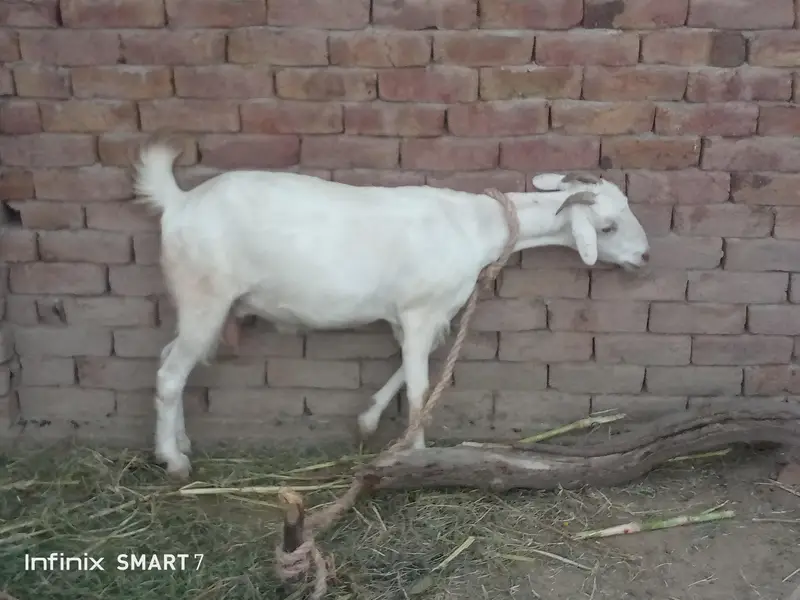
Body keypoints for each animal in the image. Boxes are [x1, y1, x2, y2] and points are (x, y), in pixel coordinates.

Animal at [133, 135, 650, 479]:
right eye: (606, 227)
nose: (644, 256)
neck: (475, 228)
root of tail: (178, 203)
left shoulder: (422, 315)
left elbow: (410, 367)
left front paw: (367, 422)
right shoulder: (420, 311)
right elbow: (421, 386)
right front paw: (418, 455)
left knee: (169, 361)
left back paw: (179, 443)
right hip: (205, 295)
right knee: (169, 374)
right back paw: (173, 461)